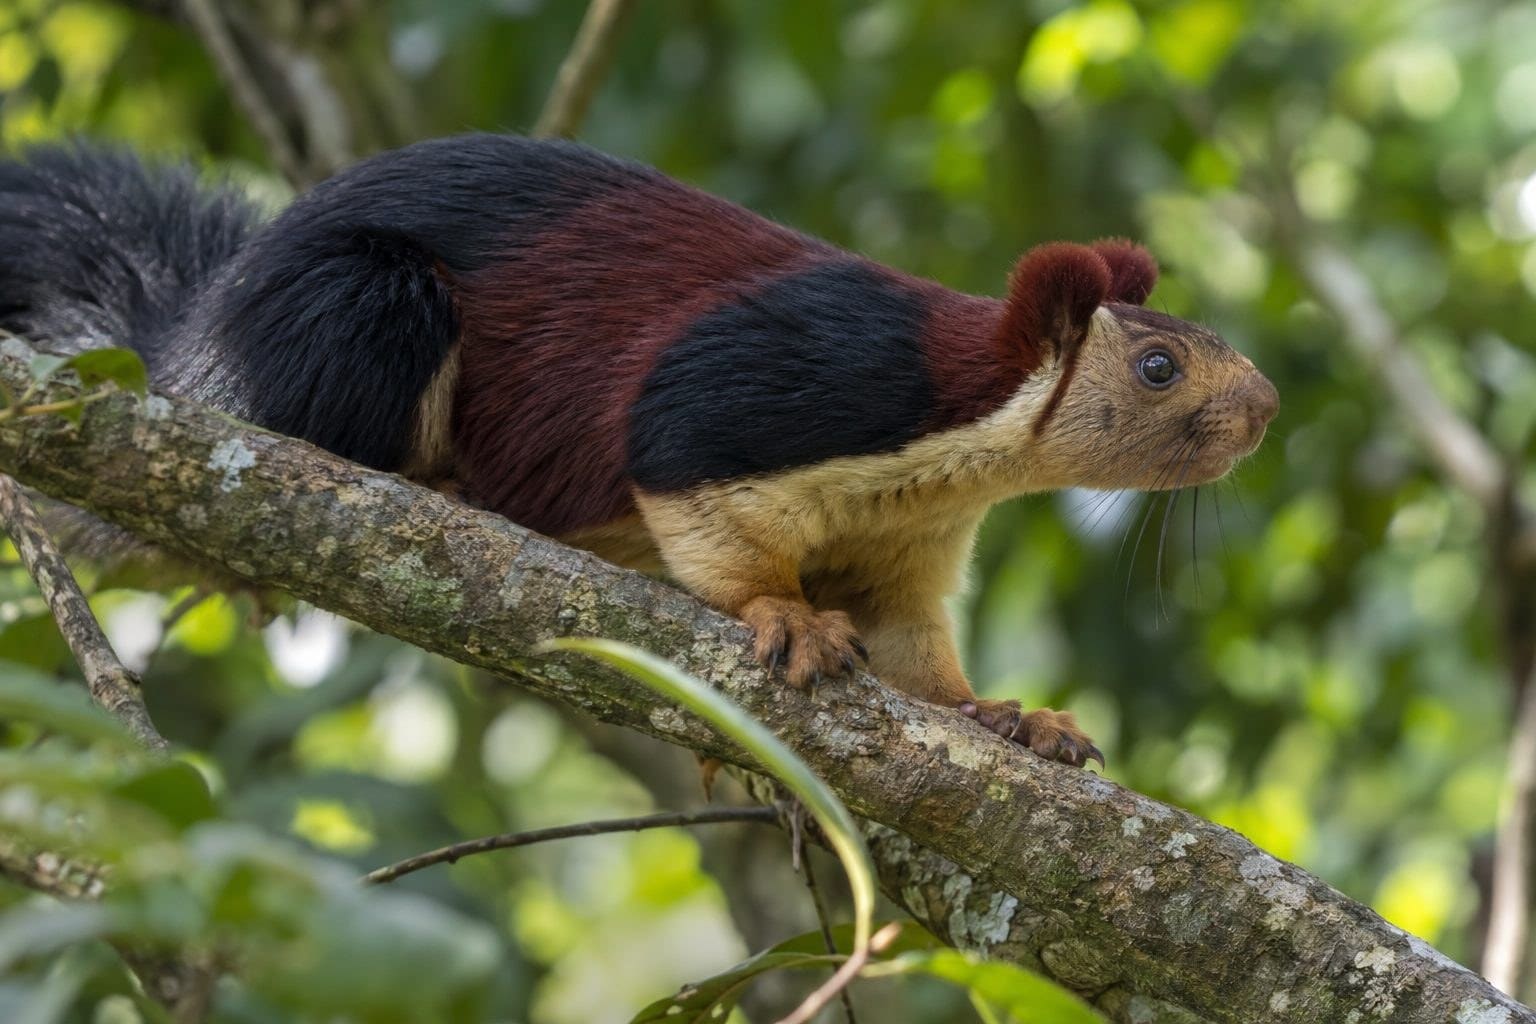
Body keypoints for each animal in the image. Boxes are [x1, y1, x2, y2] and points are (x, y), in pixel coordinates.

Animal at [0, 134, 1277, 767]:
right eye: (1158, 366)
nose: (1266, 406)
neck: (961, 444)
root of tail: (188, 356)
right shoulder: (789, 381)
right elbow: (694, 493)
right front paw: (785, 617)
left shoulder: (905, 550)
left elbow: (919, 658)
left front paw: (1010, 717)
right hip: (356, 307)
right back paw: (433, 481)